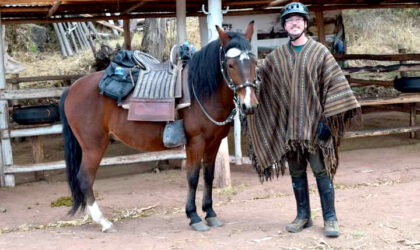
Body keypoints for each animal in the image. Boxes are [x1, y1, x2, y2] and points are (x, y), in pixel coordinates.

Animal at [57, 22, 258, 232]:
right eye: (230, 65)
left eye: (254, 62)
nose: (249, 105)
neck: (201, 91)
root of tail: (72, 88)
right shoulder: (196, 143)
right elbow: (193, 177)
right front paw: (194, 216)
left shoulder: (214, 142)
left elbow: (208, 176)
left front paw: (210, 213)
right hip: (93, 146)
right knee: (85, 178)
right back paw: (103, 221)